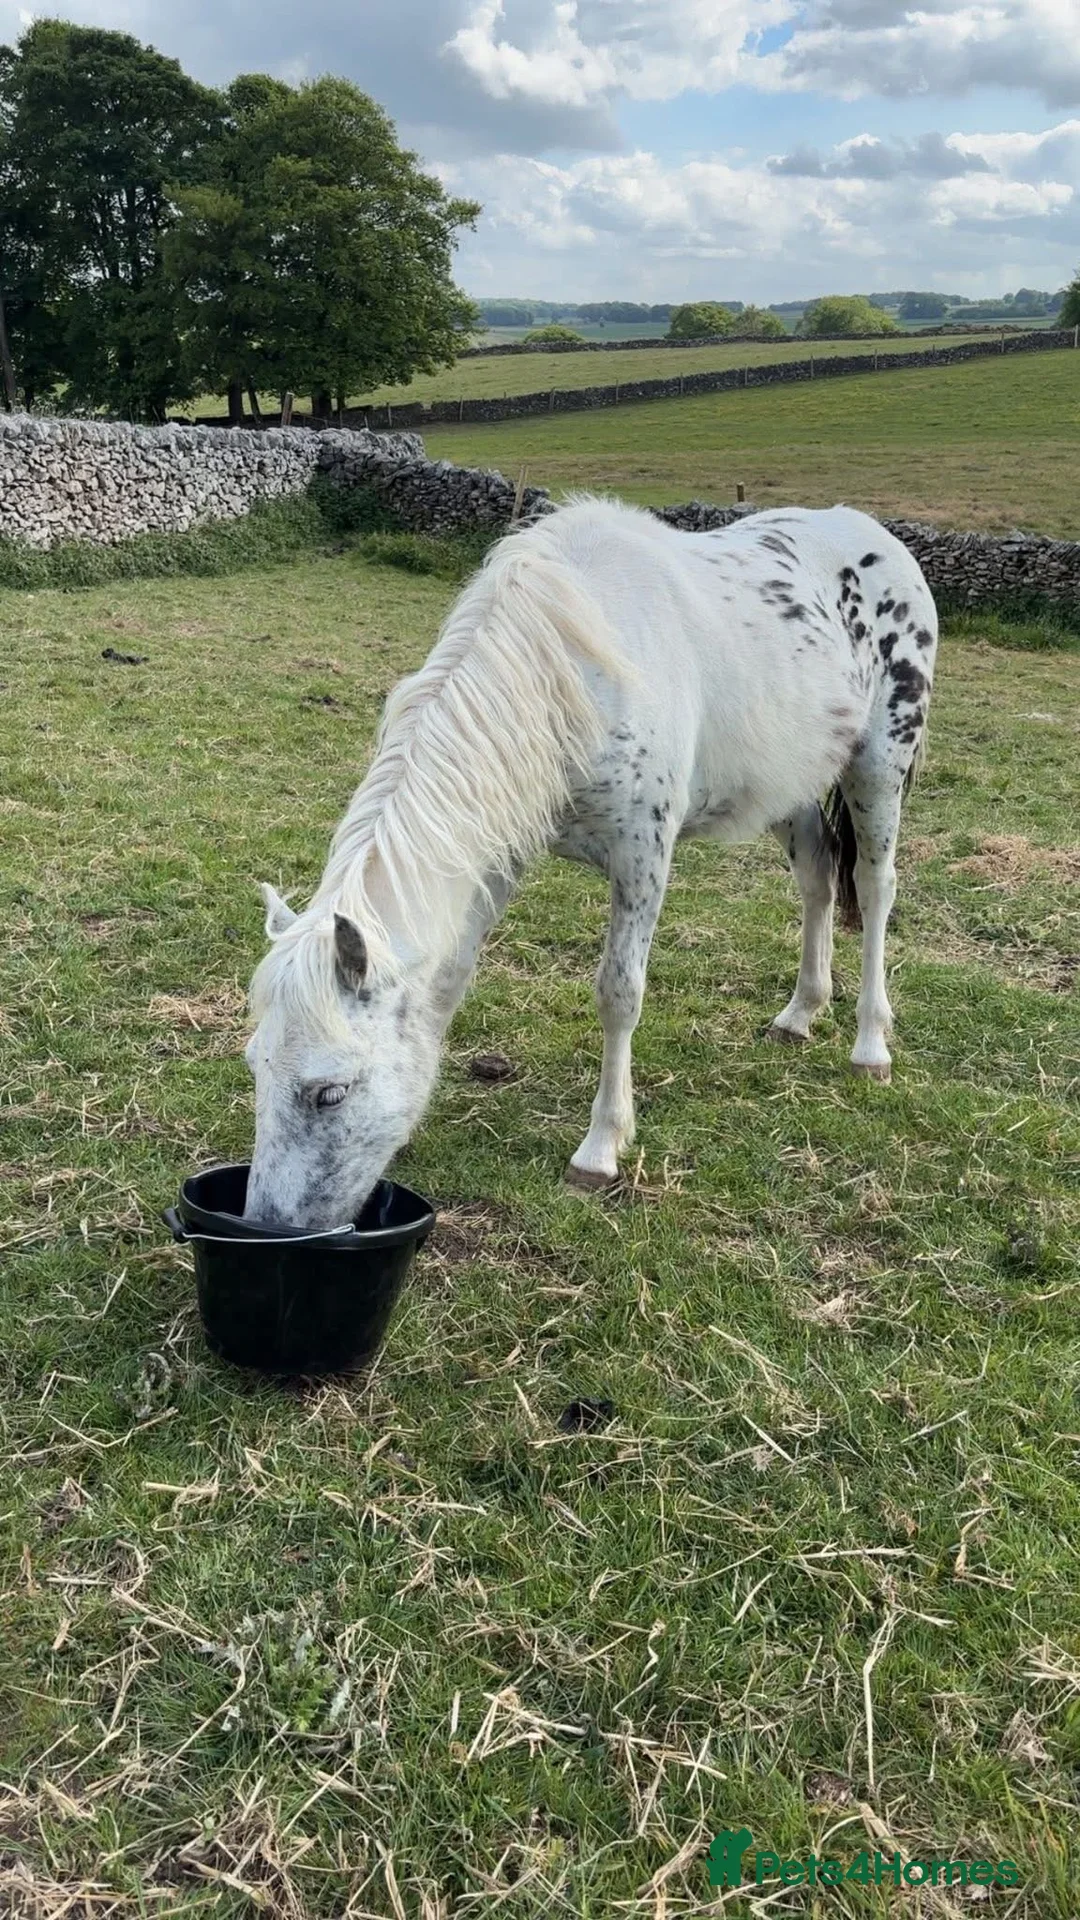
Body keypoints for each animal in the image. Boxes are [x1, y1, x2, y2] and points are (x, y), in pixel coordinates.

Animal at [244, 495, 937, 1227]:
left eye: (330, 1092)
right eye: (256, 1066)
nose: (266, 1227)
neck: (572, 673)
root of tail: (875, 533)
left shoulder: (642, 856)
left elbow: (618, 993)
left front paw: (601, 1148)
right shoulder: (498, 857)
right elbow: (451, 980)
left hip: (880, 765)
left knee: (874, 886)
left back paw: (870, 1045)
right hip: (792, 784)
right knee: (817, 880)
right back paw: (800, 1014)